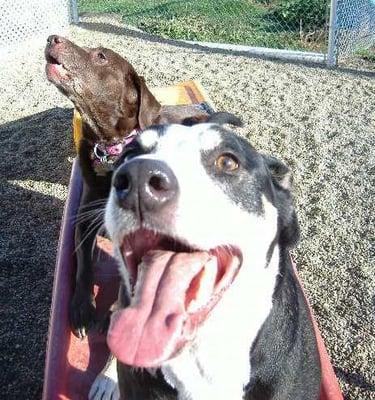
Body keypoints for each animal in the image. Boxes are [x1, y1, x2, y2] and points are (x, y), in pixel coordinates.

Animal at [44, 36, 214, 340]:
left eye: (101, 56)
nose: (52, 38)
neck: (112, 151)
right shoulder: (83, 220)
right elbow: (84, 265)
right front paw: (81, 307)